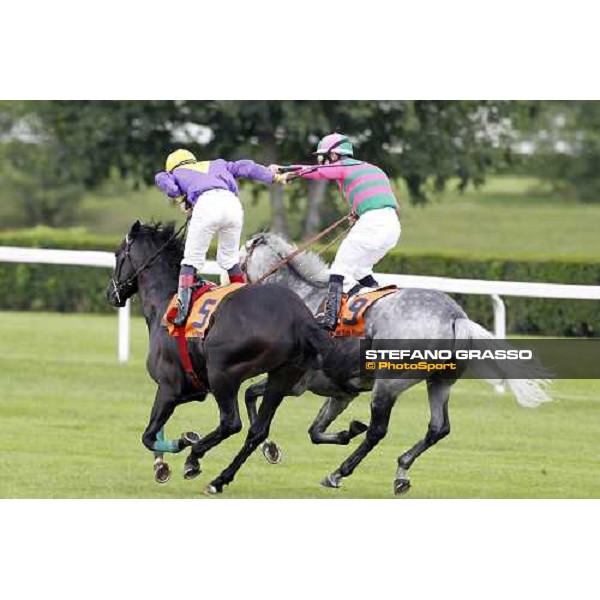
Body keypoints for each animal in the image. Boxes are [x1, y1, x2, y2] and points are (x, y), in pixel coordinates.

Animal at [108, 223, 332, 490]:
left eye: (117, 255)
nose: (110, 294)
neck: (166, 302)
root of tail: (298, 316)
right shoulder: (190, 390)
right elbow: (155, 428)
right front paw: (161, 466)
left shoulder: (169, 386)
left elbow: (149, 435)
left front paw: (184, 442)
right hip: (282, 376)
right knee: (258, 430)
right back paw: (220, 478)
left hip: (222, 373)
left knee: (231, 422)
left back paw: (194, 457)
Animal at [241, 232, 552, 494]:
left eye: (242, 255)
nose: (233, 279)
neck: (305, 296)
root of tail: (455, 317)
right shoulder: (340, 393)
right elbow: (315, 431)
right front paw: (346, 431)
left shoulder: (295, 383)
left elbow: (250, 395)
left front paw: (267, 446)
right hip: (439, 382)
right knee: (438, 428)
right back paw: (402, 471)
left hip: (388, 384)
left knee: (378, 431)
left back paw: (338, 473)